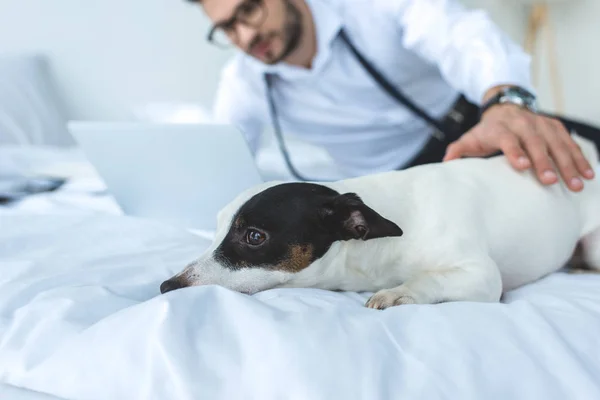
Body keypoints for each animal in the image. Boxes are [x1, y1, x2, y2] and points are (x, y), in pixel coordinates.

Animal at [159, 135, 600, 310]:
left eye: (254, 236)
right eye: (216, 227)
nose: (166, 287)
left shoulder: (480, 274)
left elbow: (428, 280)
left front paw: (399, 293)